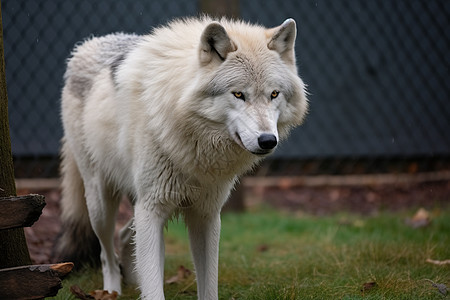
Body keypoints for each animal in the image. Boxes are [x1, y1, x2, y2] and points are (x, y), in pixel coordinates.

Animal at [55, 17, 310, 300]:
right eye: (238, 94)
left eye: (274, 94)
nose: (267, 140)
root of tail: (85, 45)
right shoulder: (152, 209)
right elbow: (153, 289)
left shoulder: (206, 214)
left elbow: (207, 286)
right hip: (101, 203)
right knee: (106, 252)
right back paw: (112, 290)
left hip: (138, 201)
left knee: (124, 237)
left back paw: (132, 281)